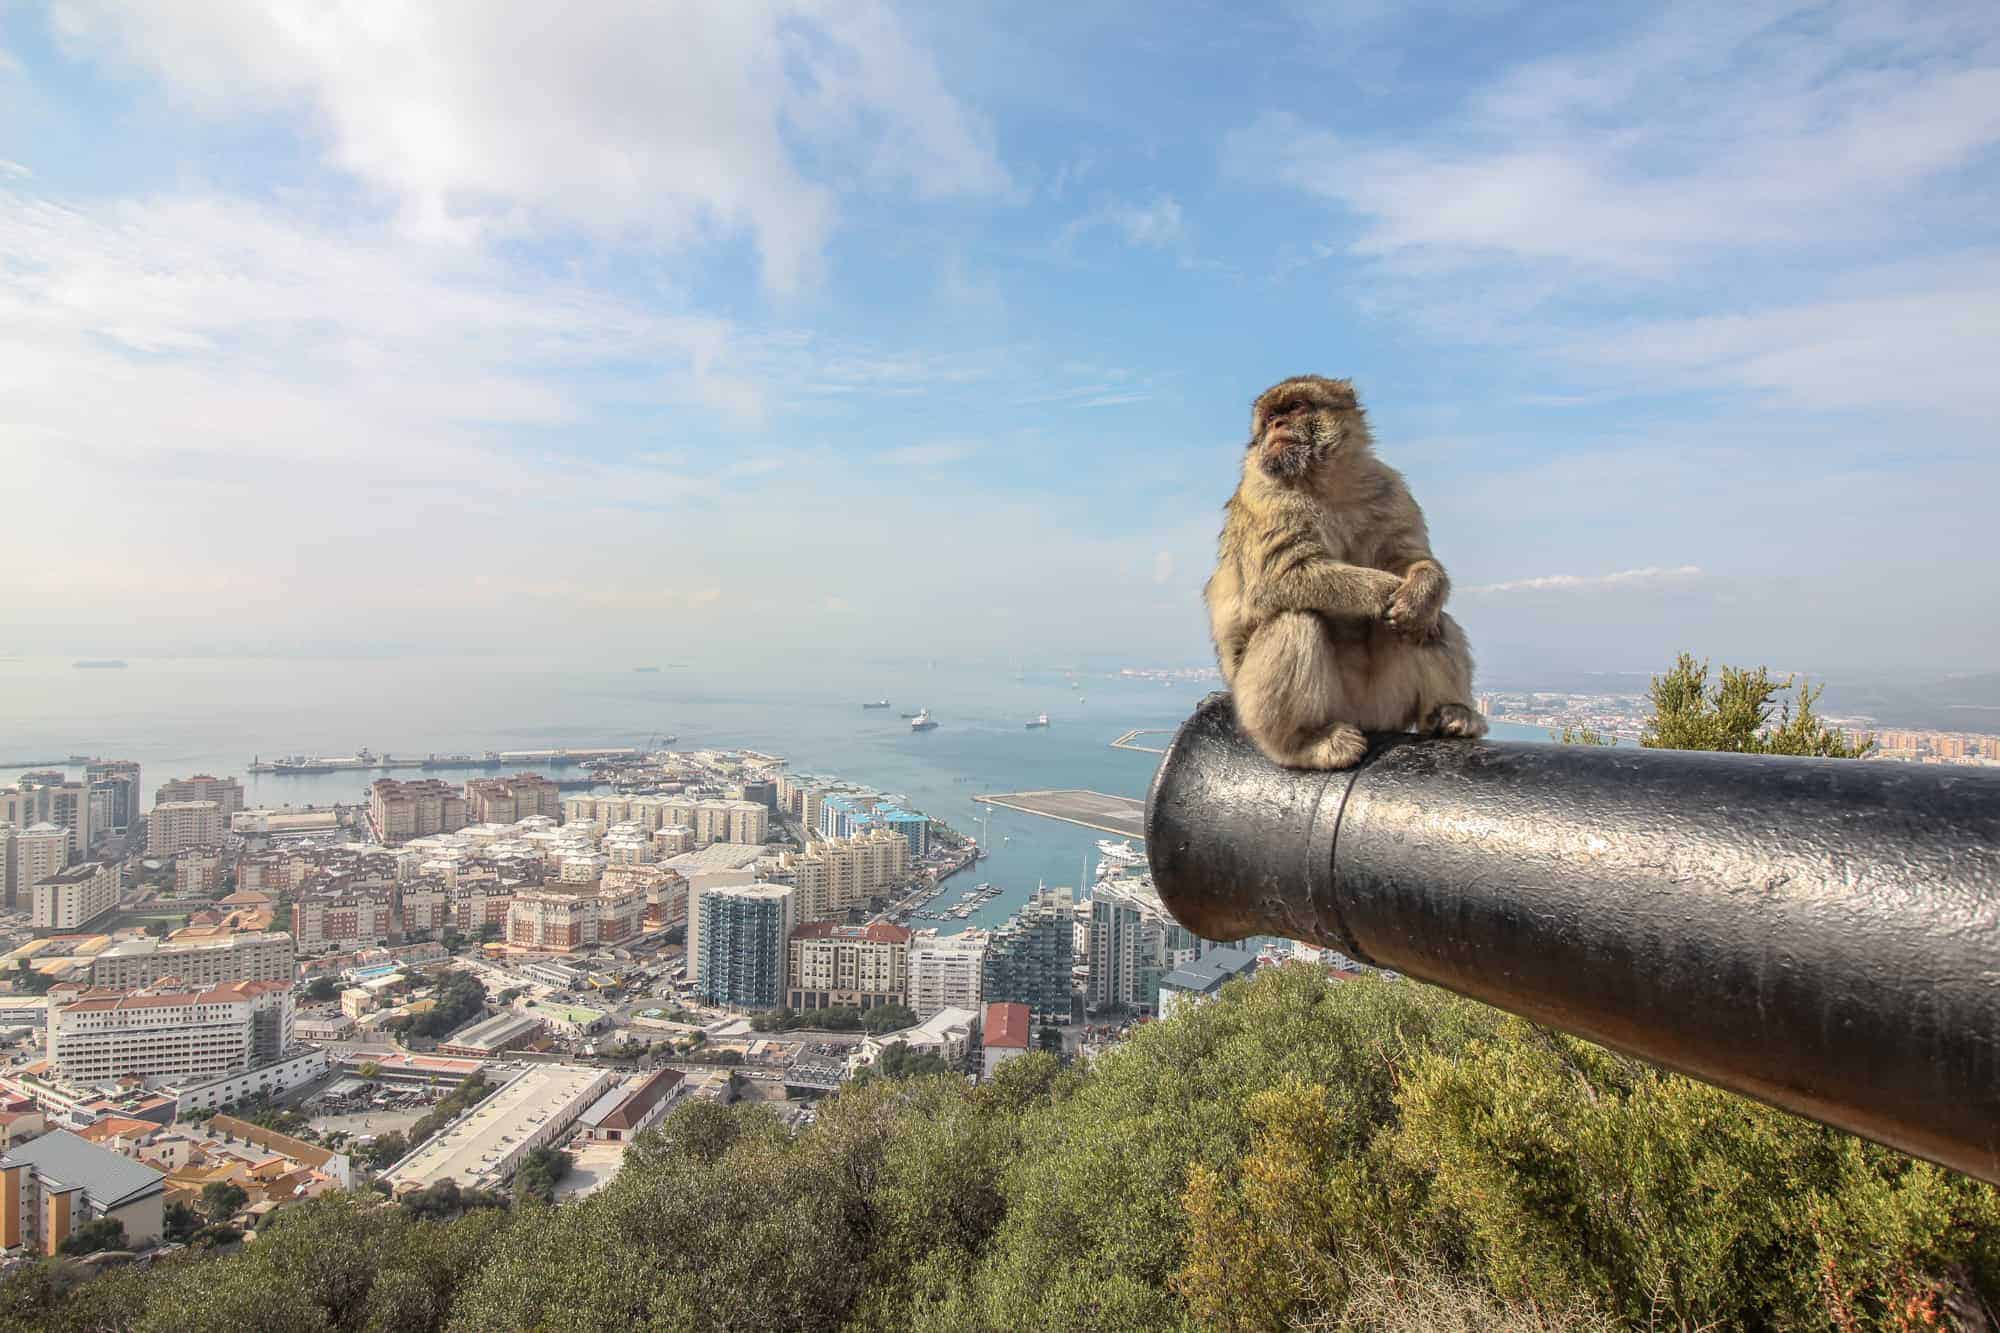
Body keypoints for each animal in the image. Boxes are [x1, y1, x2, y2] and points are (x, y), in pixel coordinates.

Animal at [1200, 374, 1488, 768]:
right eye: (1271, 417)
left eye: (1295, 408)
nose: (1277, 425)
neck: (1325, 482)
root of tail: (1362, 717)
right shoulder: (1265, 496)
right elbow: (1280, 578)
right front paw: (1385, 590)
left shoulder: (1390, 488)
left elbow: (1410, 557)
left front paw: (1421, 590)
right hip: (1258, 703)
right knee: (1296, 618)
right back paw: (1305, 741)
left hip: (1383, 702)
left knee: (1434, 623)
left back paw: (1454, 712)